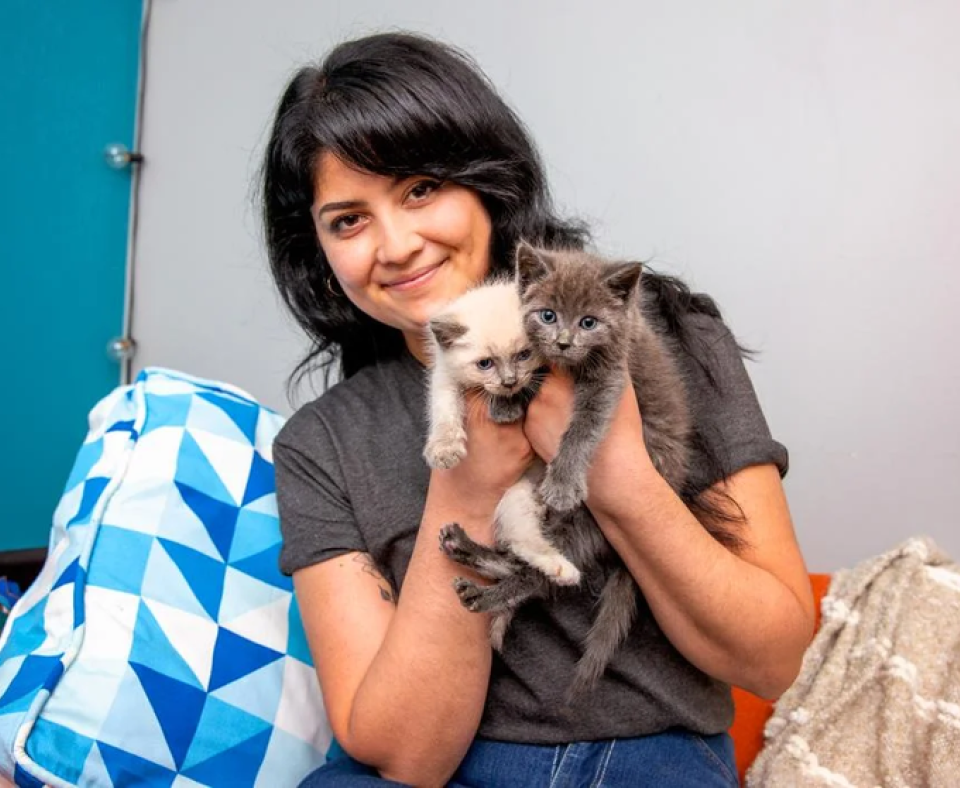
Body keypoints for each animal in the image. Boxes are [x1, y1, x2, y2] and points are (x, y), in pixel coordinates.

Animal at [438, 243, 692, 700]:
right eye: (548, 315)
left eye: (589, 322)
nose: (563, 342)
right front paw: (505, 403)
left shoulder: (610, 375)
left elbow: (582, 426)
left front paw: (561, 481)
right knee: (520, 557)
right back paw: (466, 552)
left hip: (588, 523)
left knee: (541, 575)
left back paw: (488, 595)